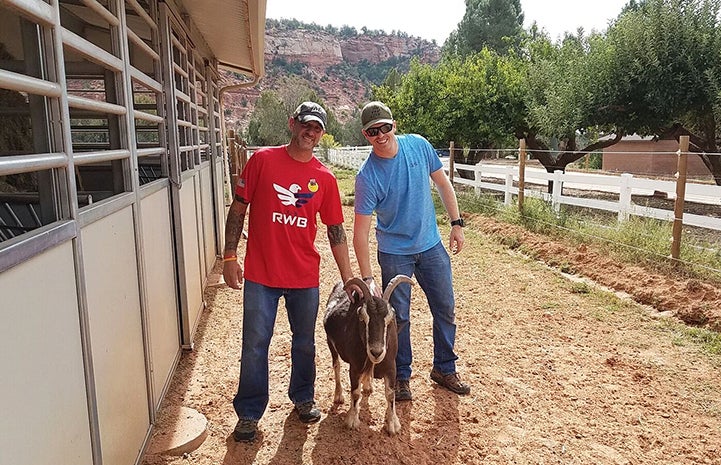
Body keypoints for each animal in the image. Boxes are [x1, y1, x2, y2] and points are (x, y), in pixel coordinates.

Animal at [324, 274, 414, 434]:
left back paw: (367, 385)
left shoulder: (391, 366)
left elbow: (390, 393)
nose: (376, 352)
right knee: (336, 366)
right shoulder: (355, 366)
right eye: (362, 317)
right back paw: (338, 395)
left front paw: (393, 424)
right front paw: (352, 420)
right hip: (330, 343)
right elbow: (355, 392)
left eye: (390, 318)